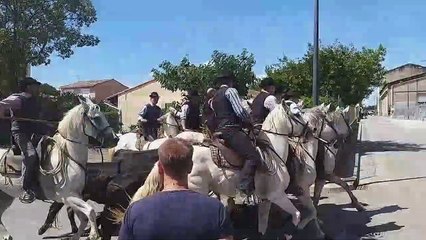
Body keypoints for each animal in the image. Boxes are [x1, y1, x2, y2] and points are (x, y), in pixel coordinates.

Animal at [0, 96, 118, 240]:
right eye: (96, 117)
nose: (115, 139)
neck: (69, 157)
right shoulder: (67, 197)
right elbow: (90, 211)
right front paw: (93, 234)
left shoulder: (76, 196)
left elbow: (83, 218)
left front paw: (77, 235)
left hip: (5, 196)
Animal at [125, 102, 308, 239]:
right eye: (297, 114)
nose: (309, 129)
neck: (271, 153)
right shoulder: (277, 195)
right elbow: (297, 215)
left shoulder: (266, 199)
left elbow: (262, 226)